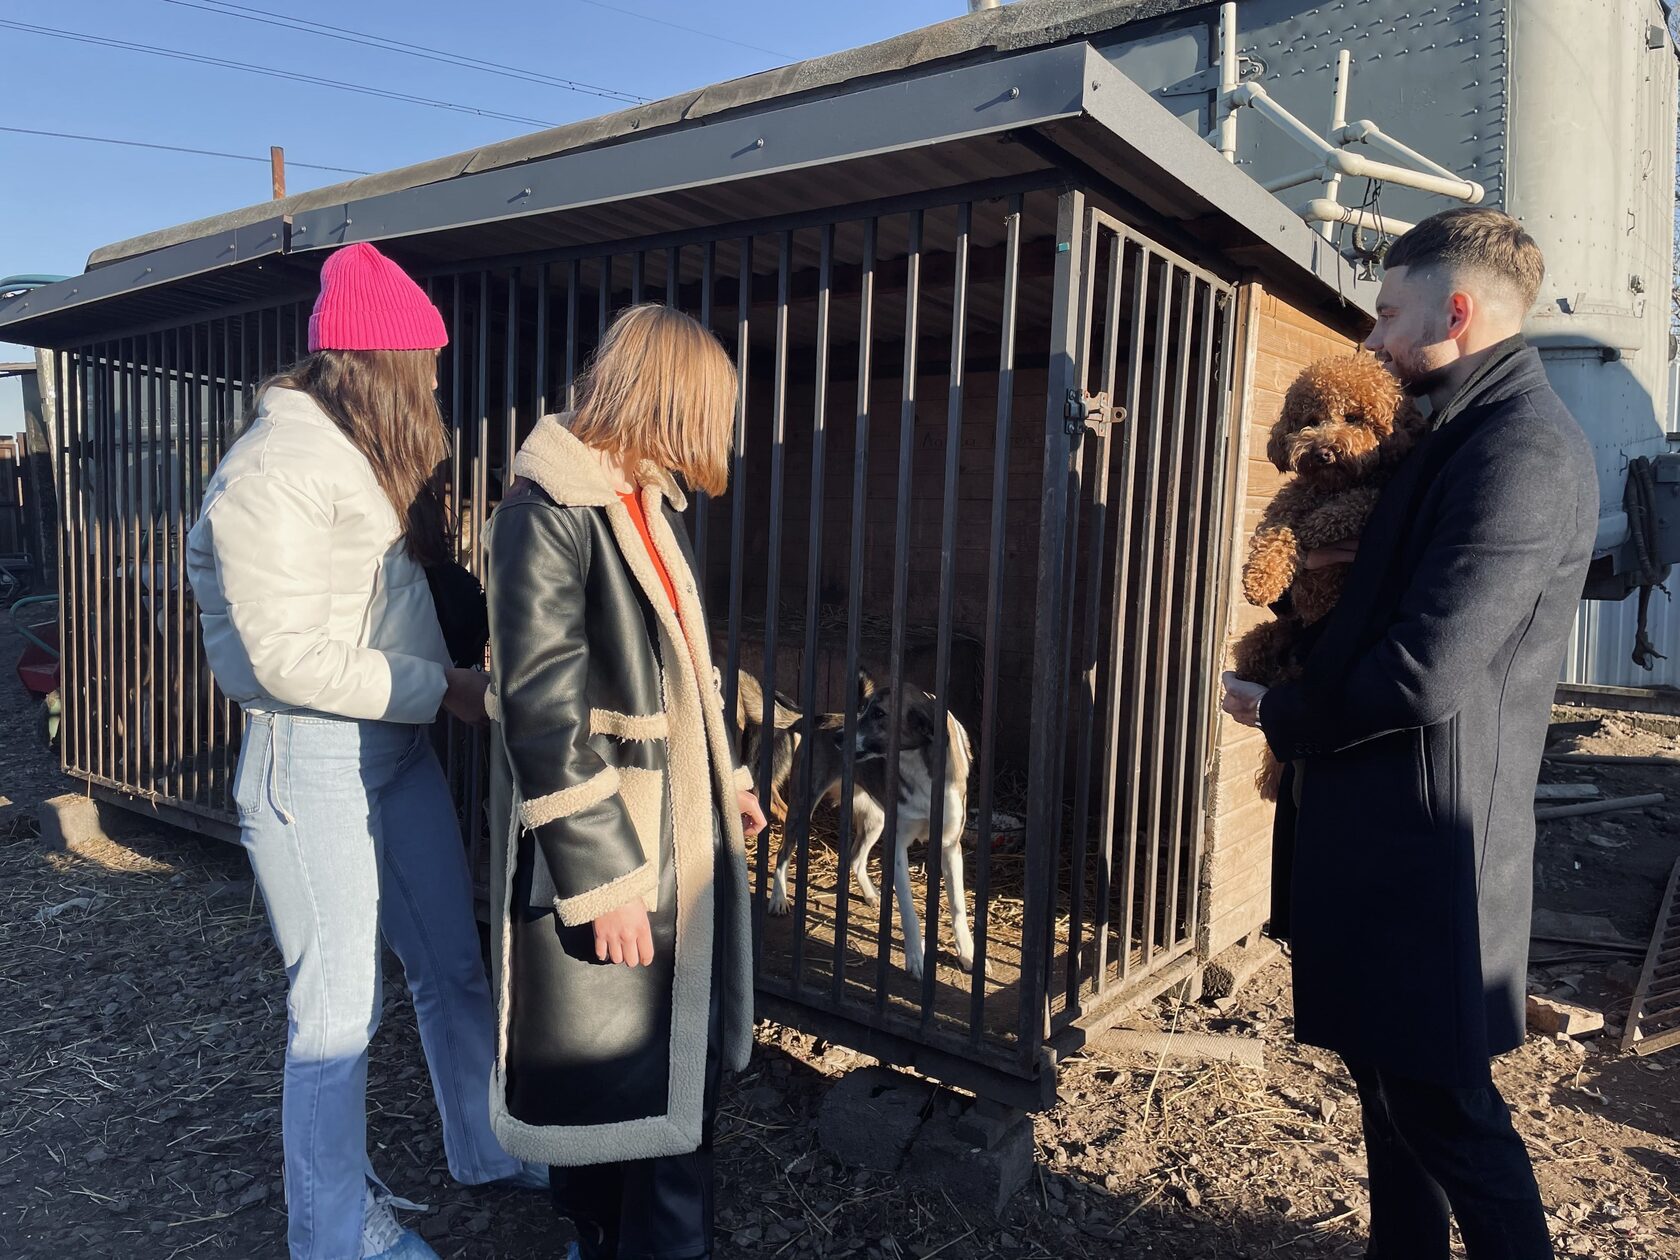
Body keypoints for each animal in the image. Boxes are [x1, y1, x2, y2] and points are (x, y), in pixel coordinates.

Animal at [756, 675, 981, 981]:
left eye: (879, 714)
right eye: (864, 709)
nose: (838, 737)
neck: (921, 764)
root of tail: (819, 718)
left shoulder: (950, 847)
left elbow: (958, 907)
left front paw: (968, 953)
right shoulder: (898, 848)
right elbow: (909, 911)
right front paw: (916, 958)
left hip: (876, 821)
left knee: (855, 858)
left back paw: (871, 894)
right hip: (803, 808)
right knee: (782, 852)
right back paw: (778, 899)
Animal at [1229, 356, 1424, 799]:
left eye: (1354, 417)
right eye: (1311, 420)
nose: (1322, 451)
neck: (1332, 485)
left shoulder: (1374, 496)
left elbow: (1355, 504)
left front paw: (1318, 526)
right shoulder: (1285, 506)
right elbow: (1274, 536)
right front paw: (1260, 580)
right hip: (1268, 634)